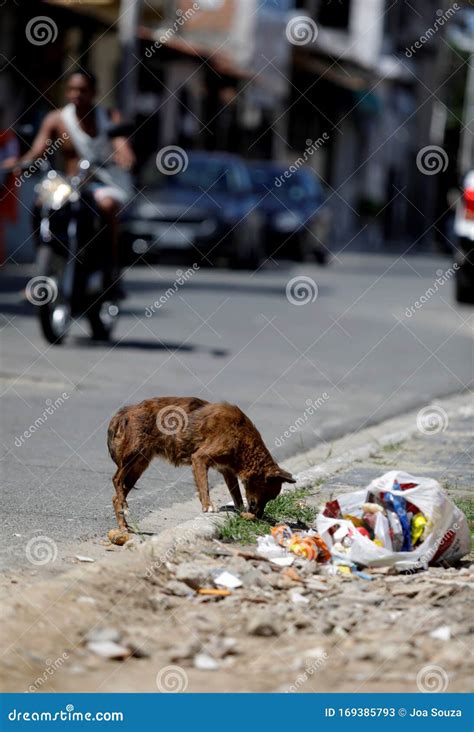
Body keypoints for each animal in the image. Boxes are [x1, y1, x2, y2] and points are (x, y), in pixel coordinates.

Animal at [106, 398, 296, 528]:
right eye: (267, 495)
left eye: (271, 498)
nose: (259, 516)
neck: (243, 440)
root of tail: (126, 411)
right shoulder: (199, 458)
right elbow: (204, 486)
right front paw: (208, 506)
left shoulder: (227, 470)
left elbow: (236, 494)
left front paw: (240, 509)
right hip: (133, 455)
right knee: (116, 479)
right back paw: (125, 507)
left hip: (139, 466)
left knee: (116, 496)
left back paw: (123, 525)